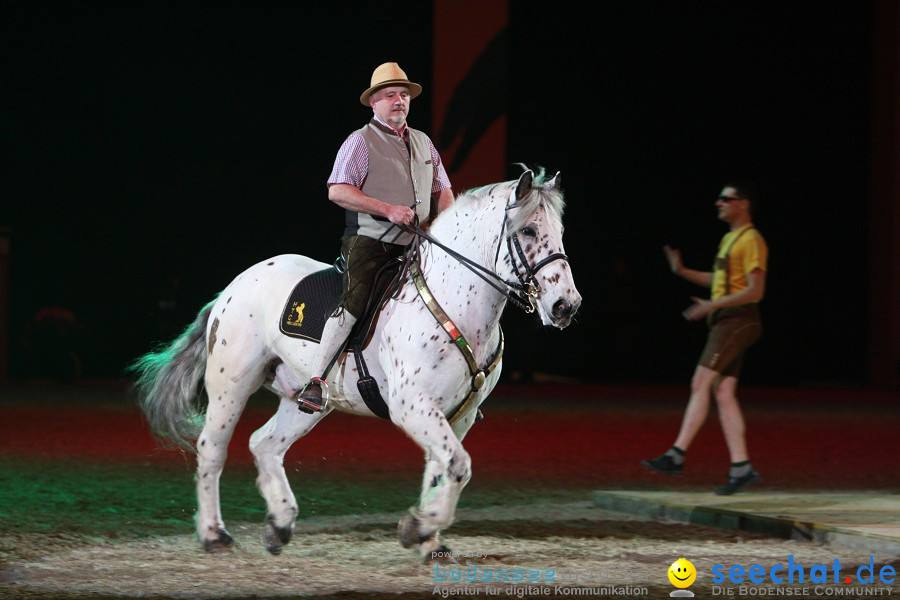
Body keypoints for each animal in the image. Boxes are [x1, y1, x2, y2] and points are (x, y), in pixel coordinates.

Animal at [134, 166, 584, 560]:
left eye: (559, 232)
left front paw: (428, 539)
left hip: (307, 399)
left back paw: (279, 525)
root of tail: (234, 286)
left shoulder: (459, 414)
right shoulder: (412, 405)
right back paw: (215, 535)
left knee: (265, 444)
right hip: (231, 385)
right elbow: (458, 465)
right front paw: (418, 528)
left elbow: (442, 469)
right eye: (527, 231)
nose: (566, 306)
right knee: (212, 449)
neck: (455, 302)